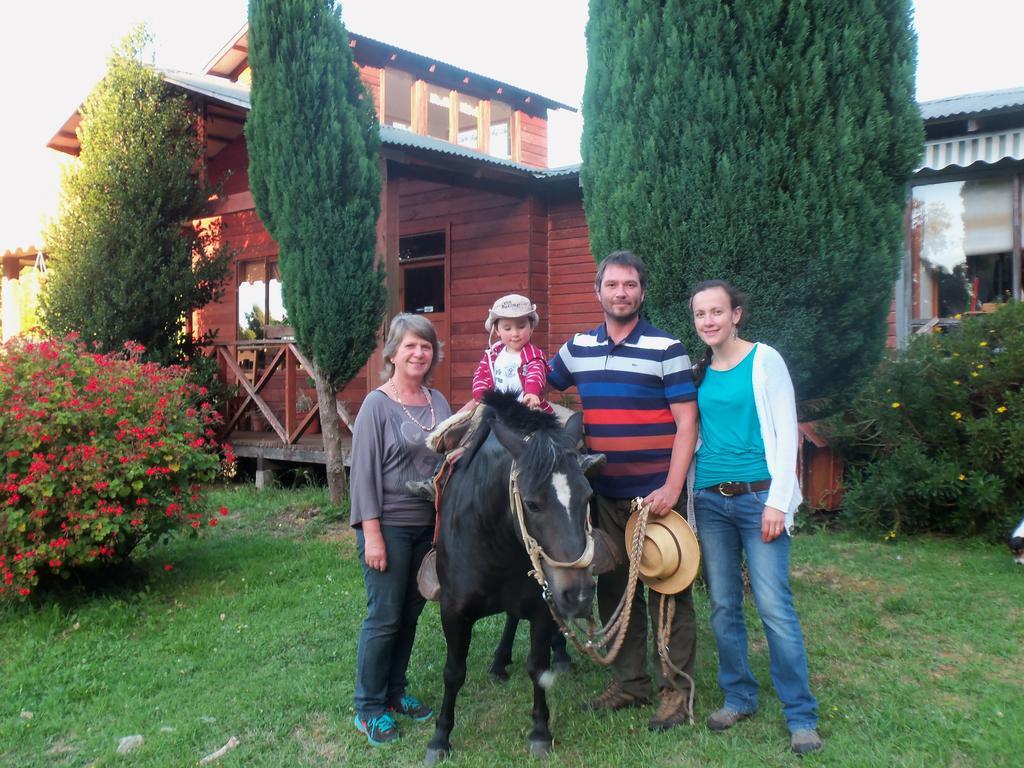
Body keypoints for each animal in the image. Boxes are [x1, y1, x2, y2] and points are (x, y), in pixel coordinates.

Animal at [423, 393, 598, 765]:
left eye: (588, 496)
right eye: (532, 504)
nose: (577, 594)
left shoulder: (542, 605)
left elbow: (538, 668)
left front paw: (540, 732)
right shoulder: (452, 611)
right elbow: (453, 672)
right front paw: (440, 737)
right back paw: (500, 661)